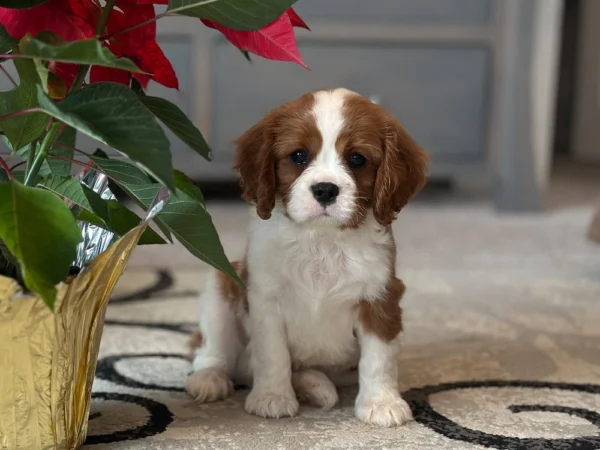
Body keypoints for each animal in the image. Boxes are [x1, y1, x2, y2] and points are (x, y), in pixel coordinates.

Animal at [186, 87, 426, 426]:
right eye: (298, 156)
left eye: (357, 159)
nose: (325, 189)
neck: (322, 240)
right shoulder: (265, 300)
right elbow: (273, 355)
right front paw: (272, 397)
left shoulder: (380, 297)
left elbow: (378, 358)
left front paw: (381, 402)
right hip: (220, 286)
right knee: (213, 348)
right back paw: (209, 379)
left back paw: (313, 386)